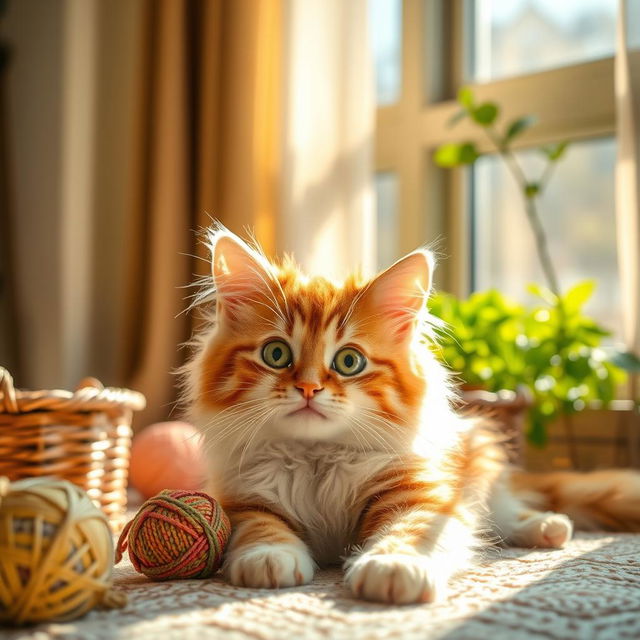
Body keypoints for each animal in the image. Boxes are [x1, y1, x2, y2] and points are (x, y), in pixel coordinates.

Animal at [181, 226, 640, 604]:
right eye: (276, 354)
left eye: (349, 361)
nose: (309, 388)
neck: (317, 458)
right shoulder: (240, 498)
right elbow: (260, 526)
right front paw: (268, 557)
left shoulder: (419, 492)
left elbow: (412, 531)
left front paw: (394, 568)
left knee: (500, 513)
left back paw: (547, 527)